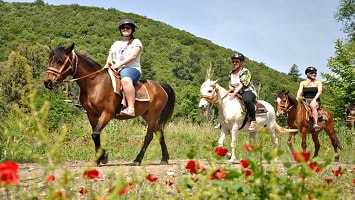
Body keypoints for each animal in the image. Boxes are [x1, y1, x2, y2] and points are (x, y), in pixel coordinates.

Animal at [43, 43, 176, 166]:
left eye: (60, 61)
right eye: (50, 60)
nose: (47, 82)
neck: (95, 84)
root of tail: (160, 86)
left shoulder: (107, 114)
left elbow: (95, 134)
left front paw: (103, 157)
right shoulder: (91, 115)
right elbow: (96, 135)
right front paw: (98, 159)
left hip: (153, 114)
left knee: (149, 136)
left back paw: (138, 160)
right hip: (147, 115)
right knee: (159, 133)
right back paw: (164, 158)